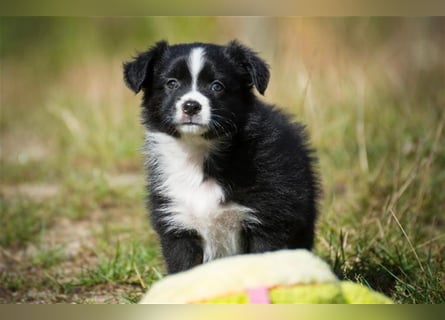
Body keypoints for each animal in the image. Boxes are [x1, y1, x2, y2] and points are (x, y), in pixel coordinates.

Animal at [122, 40, 320, 274]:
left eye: (217, 86)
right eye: (172, 83)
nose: (191, 106)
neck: (198, 151)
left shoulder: (269, 219)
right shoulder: (177, 223)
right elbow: (183, 268)